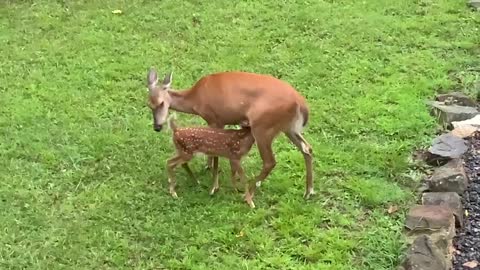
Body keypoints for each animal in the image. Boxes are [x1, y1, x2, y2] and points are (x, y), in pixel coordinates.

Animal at [147, 68, 316, 201]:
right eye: (149, 104)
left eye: (161, 103)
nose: (157, 126)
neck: (196, 100)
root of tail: (301, 103)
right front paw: (209, 169)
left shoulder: (215, 119)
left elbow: (215, 153)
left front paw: (214, 186)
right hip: (288, 128)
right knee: (307, 148)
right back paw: (308, 191)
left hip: (263, 127)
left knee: (270, 161)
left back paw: (250, 192)